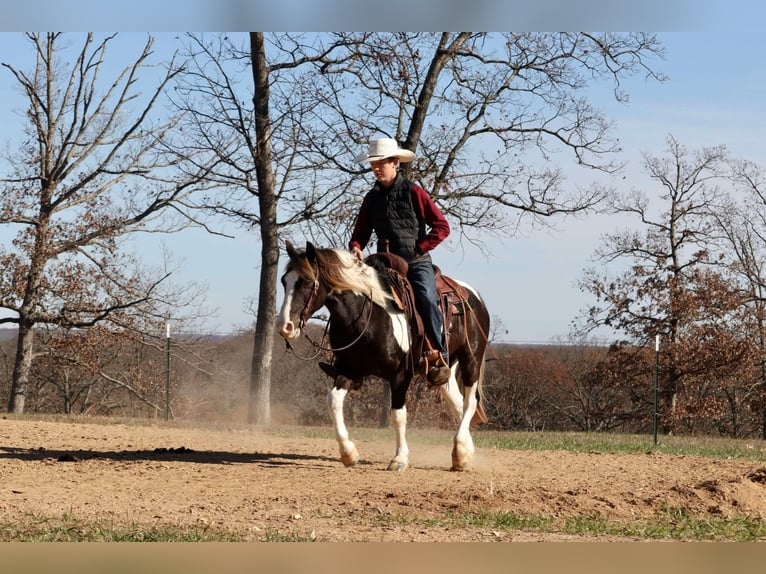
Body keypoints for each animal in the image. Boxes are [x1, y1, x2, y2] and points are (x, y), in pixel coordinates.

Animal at [276, 242, 492, 472]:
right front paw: (349, 453)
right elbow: (333, 401)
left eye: (307, 282)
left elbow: (398, 416)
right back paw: (467, 452)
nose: (284, 326)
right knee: (457, 402)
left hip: (471, 358)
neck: (368, 315)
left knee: (470, 401)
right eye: (284, 281)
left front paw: (399, 459)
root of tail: (474, 296)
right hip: (446, 367)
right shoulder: (349, 370)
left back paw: (459, 453)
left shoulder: (400, 376)